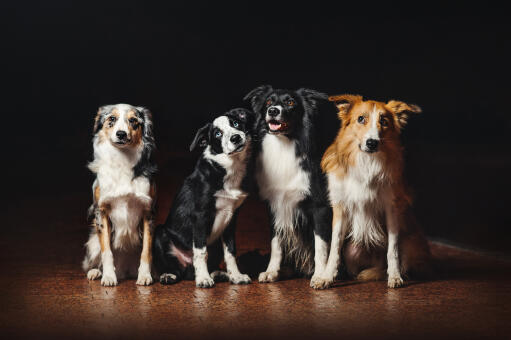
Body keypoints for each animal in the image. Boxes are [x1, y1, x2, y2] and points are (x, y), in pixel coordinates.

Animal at [153, 108, 255, 286]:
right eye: (217, 134)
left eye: (236, 123)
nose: (236, 138)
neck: (228, 167)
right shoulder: (200, 216)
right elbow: (201, 252)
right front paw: (203, 278)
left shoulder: (231, 219)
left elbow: (230, 251)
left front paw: (236, 275)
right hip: (160, 233)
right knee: (178, 269)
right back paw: (171, 275)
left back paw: (218, 273)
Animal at [246, 85, 334, 286]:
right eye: (268, 102)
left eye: (291, 102)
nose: (273, 111)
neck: (283, 144)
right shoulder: (275, 206)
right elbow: (276, 243)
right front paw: (272, 271)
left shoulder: (320, 207)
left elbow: (320, 246)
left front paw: (320, 276)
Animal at [312, 95, 432, 290]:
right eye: (361, 119)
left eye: (384, 121)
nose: (372, 142)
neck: (366, 162)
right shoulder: (340, 207)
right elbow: (334, 248)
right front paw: (326, 277)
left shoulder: (392, 208)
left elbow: (393, 249)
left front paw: (395, 276)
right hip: (352, 251)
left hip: (410, 242)